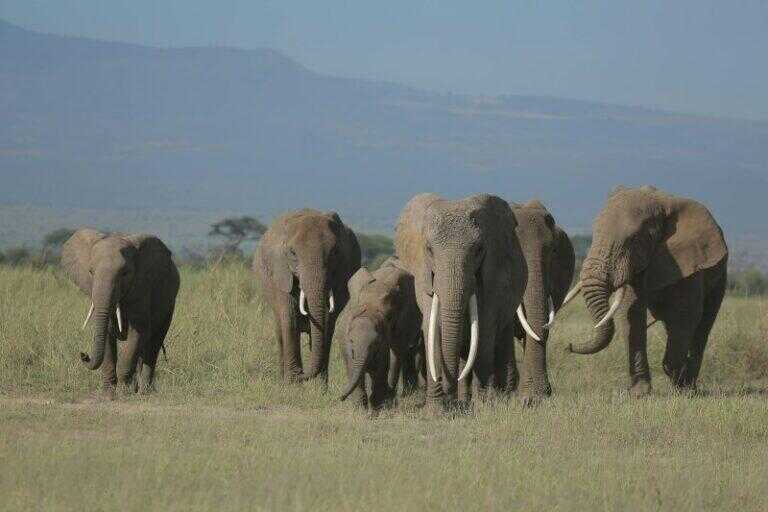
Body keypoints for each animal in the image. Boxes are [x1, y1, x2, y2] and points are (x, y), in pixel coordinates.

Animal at [61, 229, 180, 394]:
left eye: (125, 273)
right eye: (91, 272)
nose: (83, 354)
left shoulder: (141, 289)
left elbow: (135, 334)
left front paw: (124, 392)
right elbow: (106, 334)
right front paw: (108, 393)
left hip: (169, 303)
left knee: (154, 344)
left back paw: (144, 391)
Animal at [254, 209, 361, 384]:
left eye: (335, 252)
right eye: (292, 253)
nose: (301, 374)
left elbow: (326, 325)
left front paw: (317, 386)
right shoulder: (281, 272)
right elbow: (289, 319)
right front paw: (292, 382)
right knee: (280, 330)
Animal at [337, 257, 422, 409]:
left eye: (389, 317)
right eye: (351, 341)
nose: (339, 397)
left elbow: (383, 363)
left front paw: (379, 405)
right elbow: (354, 366)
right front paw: (361, 409)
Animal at [394, 193, 526, 409]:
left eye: (479, 250)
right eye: (429, 250)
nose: (449, 395)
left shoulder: (492, 277)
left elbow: (484, 329)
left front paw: (482, 407)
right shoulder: (423, 275)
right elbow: (432, 327)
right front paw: (437, 409)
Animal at [563, 186, 728, 396]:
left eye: (633, 240)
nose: (568, 346)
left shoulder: (690, 263)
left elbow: (685, 315)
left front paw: (679, 386)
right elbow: (630, 313)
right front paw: (639, 393)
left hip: (720, 276)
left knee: (703, 325)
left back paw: (689, 387)